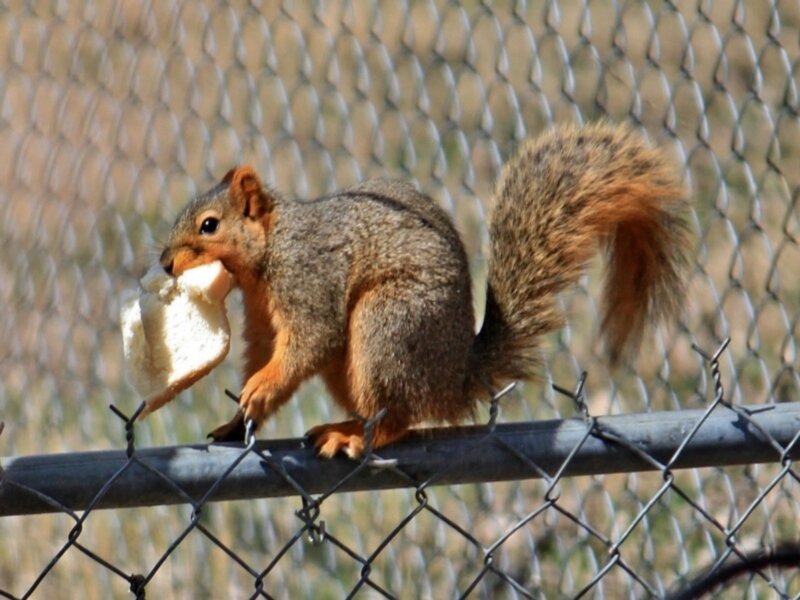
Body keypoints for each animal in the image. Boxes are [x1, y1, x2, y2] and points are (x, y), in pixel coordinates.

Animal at [159, 122, 689, 458]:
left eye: (209, 225)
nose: (165, 263)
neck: (270, 251)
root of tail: (454, 378)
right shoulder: (262, 316)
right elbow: (265, 350)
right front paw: (237, 419)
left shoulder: (309, 276)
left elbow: (311, 339)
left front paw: (262, 387)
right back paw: (347, 427)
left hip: (387, 326)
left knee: (397, 418)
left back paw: (352, 438)